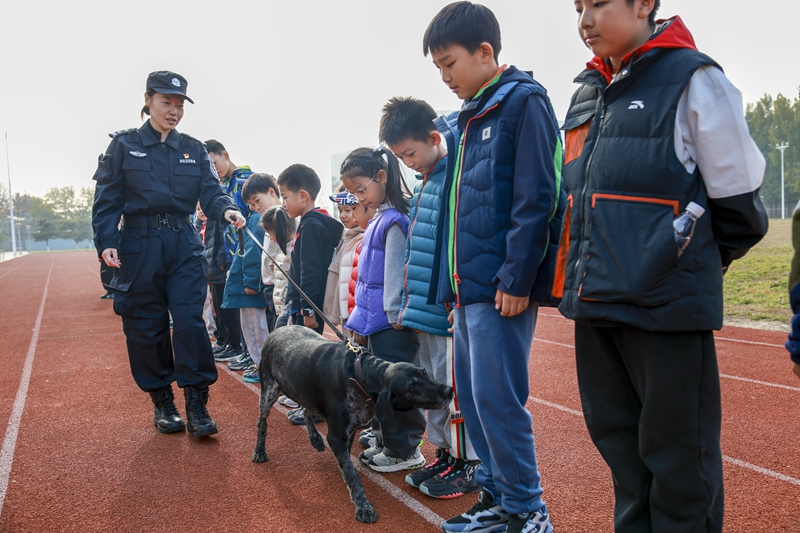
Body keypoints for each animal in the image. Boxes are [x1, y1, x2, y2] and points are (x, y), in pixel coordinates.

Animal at [252, 324, 450, 524]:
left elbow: (347, 459)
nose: (449, 390)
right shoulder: (336, 435)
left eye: (424, 372)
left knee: (307, 411)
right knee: (262, 423)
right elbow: (352, 473)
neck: (360, 376)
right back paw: (260, 451)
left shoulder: (351, 429)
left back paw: (315, 439)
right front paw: (362, 504)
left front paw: (344, 472)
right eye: (411, 386)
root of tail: (279, 328)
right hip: (269, 393)